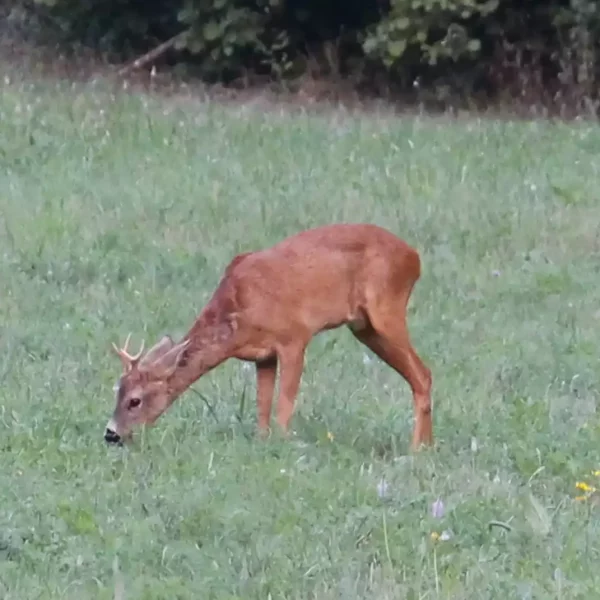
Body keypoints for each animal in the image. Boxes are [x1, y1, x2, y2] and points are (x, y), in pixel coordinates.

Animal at [103, 224, 432, 450]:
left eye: (134, 401)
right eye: (117, 390)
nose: (110, 434)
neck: (238, 309)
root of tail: (414, 257)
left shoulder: (295, 338)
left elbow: (284, 403)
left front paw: (283, 444)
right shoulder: (262, 356)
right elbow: (262, 406)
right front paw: (262, 442)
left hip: (386, 310)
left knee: (423, 373)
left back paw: (417, 449)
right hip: (364, 327)